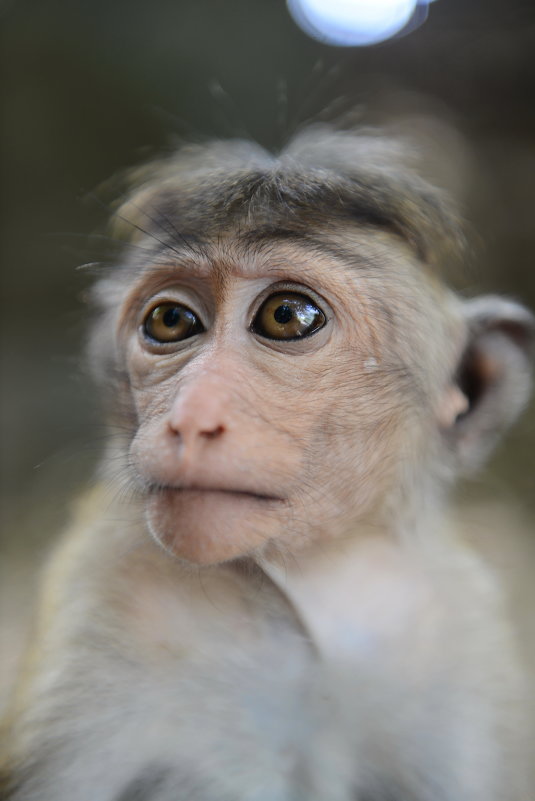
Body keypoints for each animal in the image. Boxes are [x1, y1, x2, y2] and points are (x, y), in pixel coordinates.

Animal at [0, 126, 532, 800]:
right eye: (171, 320)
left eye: (287, 316)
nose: (190, 418)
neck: (307, 589)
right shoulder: (99, 595)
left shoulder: (458, 631)